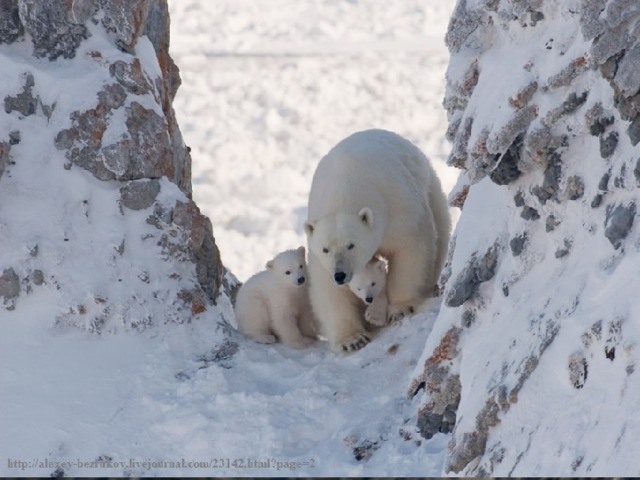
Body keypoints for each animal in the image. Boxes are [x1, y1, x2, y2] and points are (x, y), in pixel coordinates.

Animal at [304, 129, 451, 352]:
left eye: (351, 244)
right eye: (325, 249)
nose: (340, 275)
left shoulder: (397, 207)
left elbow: (409, 249)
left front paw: (401, 308)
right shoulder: (319, 252)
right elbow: (327, 288)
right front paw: (352, 340)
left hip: (429, 186)